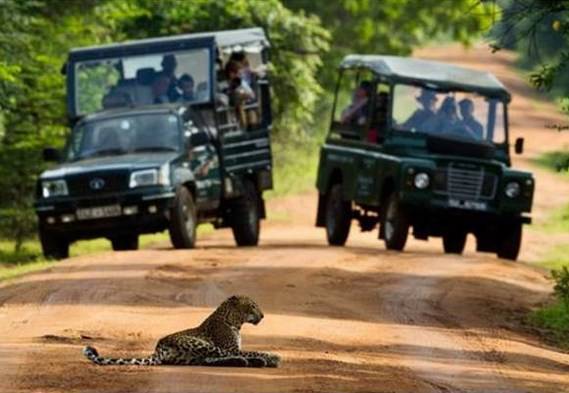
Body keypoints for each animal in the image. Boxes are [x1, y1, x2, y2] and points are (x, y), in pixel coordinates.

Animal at [83, 296, 280, 366]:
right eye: (252, 306)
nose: (263, 316)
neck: (234, 321)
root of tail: (158, 347)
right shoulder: (230, 348)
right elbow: (251, 350)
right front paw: (272, 355)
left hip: (190, 356)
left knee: (207, 360)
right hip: (200, 344)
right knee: (219, 356)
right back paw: (259, 361)